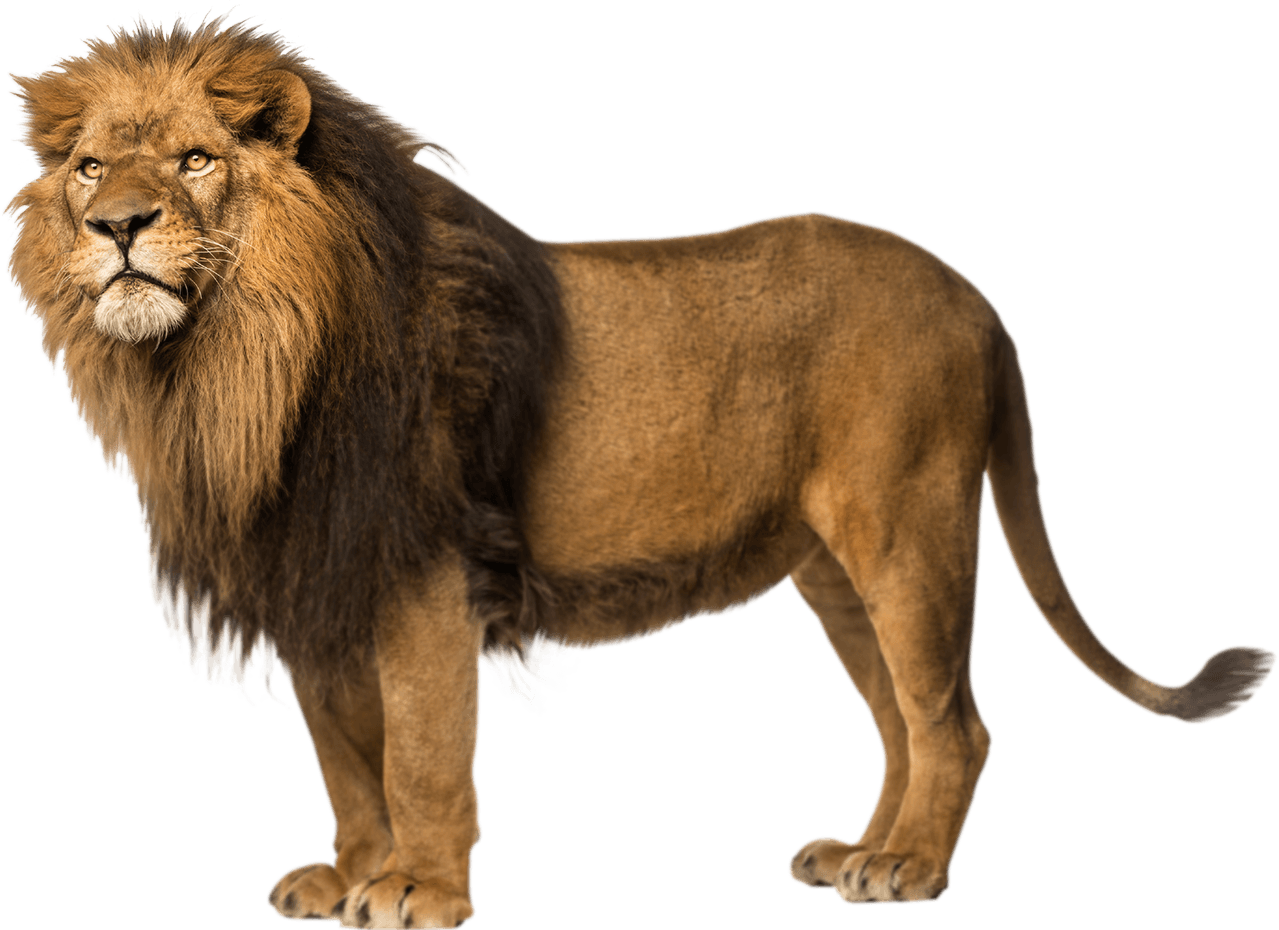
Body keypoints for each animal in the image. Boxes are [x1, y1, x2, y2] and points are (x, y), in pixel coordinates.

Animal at [5, 12, 1274, 928]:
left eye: (194, 160)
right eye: (88, 169)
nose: (118, 227)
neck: (228, 368)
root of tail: (975, 293)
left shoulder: (425, 577)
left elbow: (419, 755)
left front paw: (416, 891)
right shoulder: (315, 576)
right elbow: (344, 759)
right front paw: (349, 874)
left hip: (907, 530)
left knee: (952, 721)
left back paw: (911, 867)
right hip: (832, 571)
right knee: (899, 723)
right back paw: (862, 852)